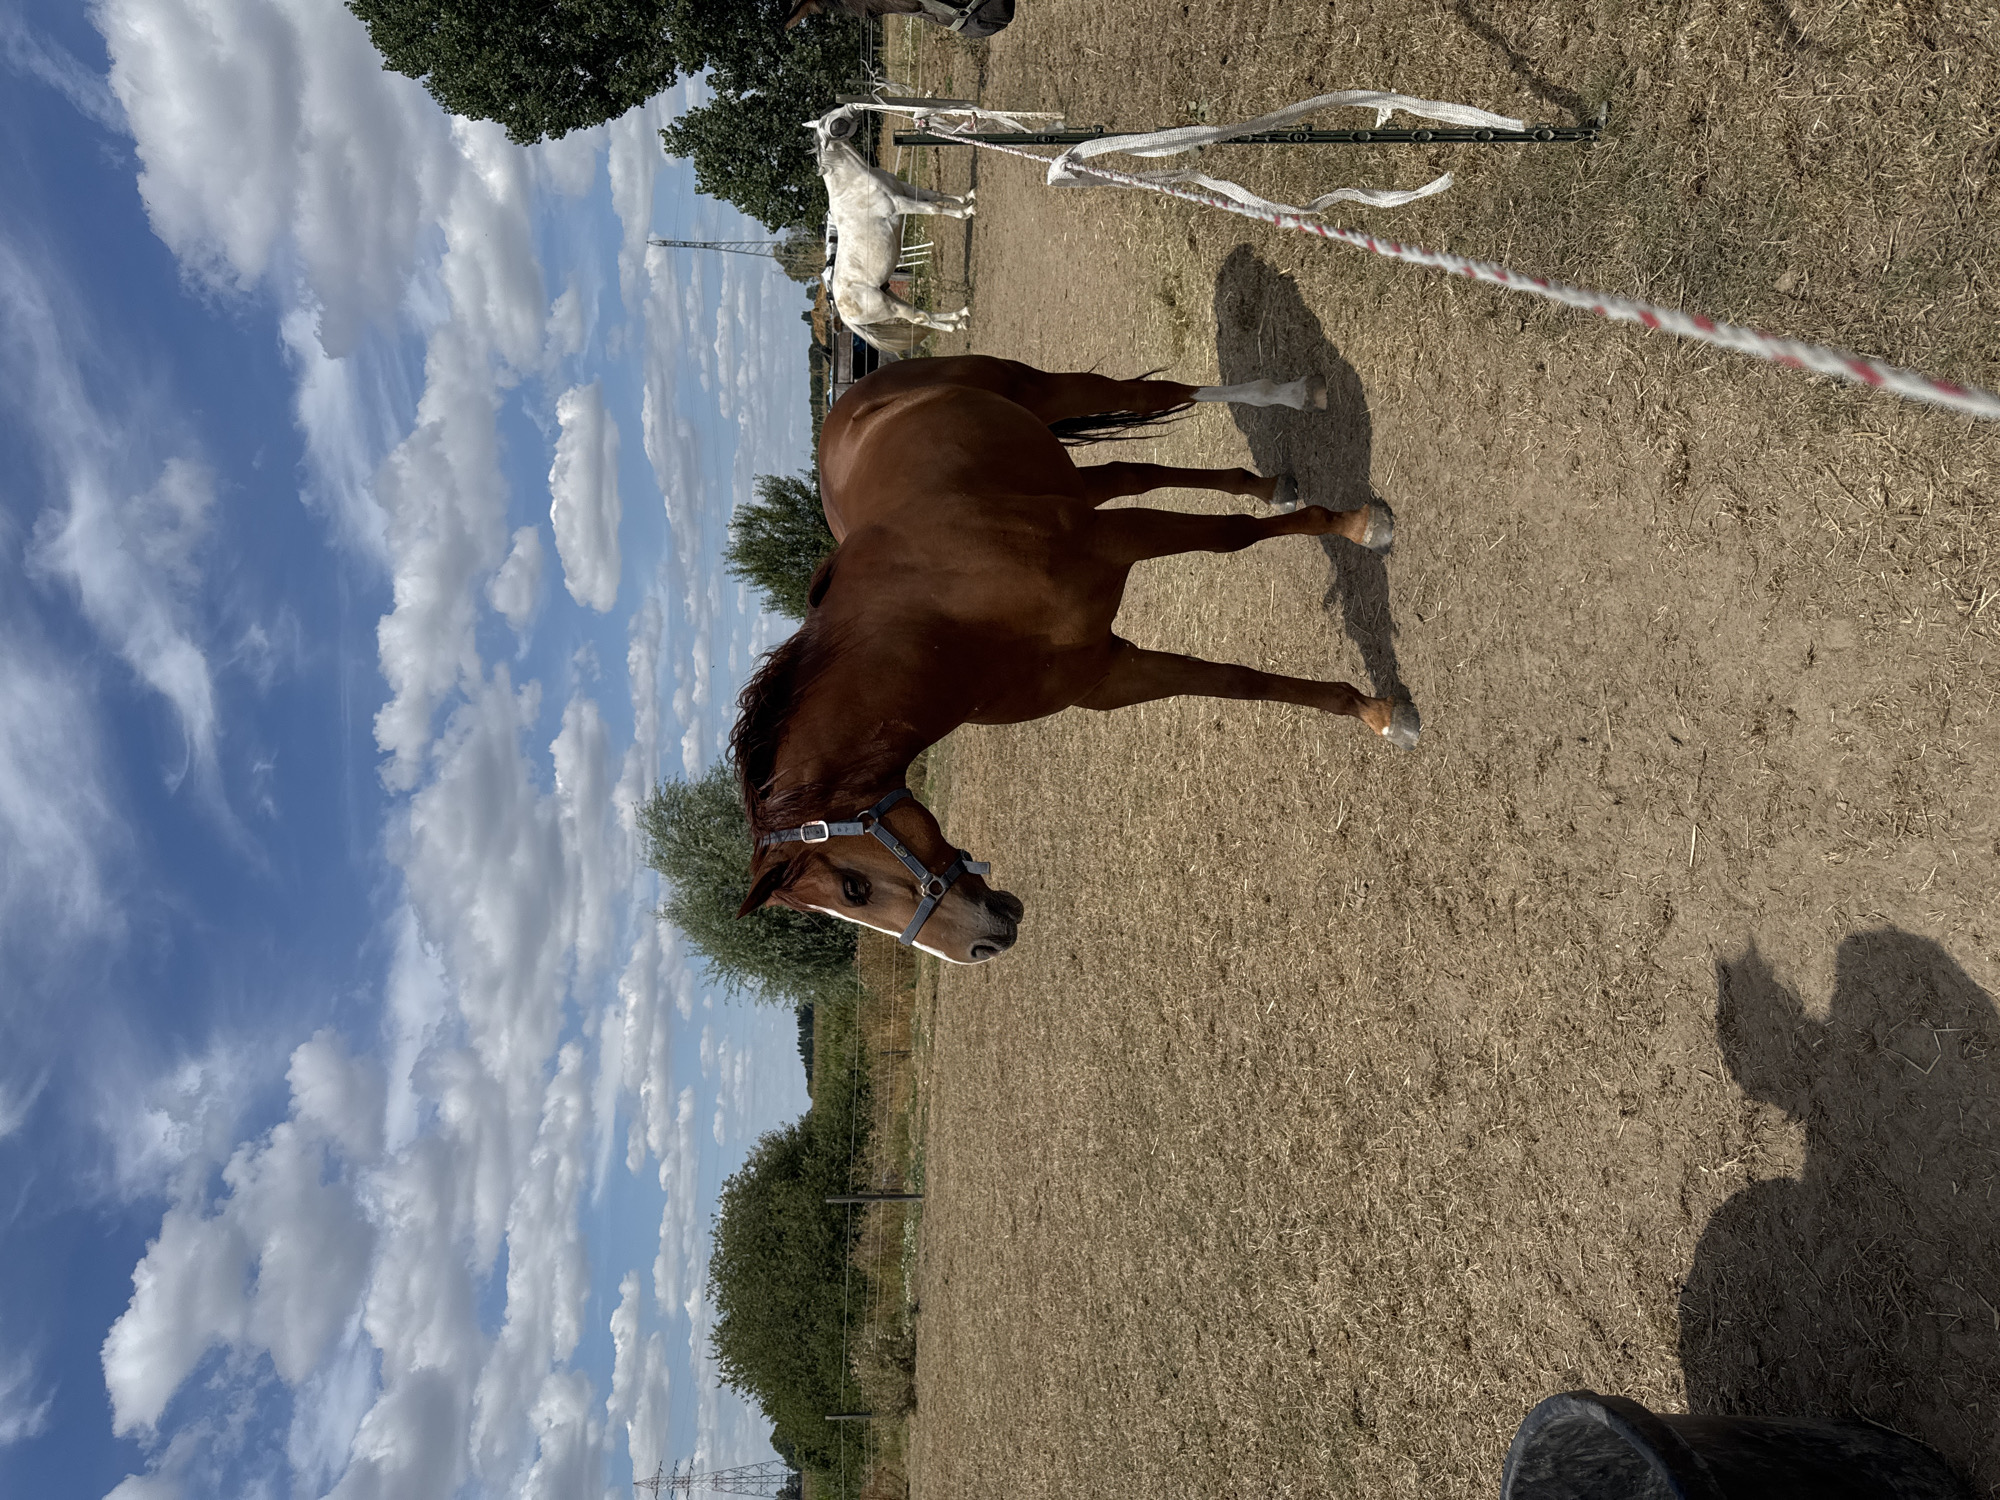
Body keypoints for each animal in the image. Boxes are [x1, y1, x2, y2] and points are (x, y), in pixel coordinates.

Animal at [731, 355, 1419, 966]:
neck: (945, 621)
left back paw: (1297, 398)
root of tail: (851, 397)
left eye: (853, 889)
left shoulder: (1114, 540)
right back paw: (1271, 484)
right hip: (1061, 469)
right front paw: (1379, 713)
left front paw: (1360, 525)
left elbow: (1234, 537)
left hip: (1045, 391)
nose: (982, 949)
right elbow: (1241, 683)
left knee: (1158, 396)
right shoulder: (1111, 676)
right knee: (1130, 469)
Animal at [810, 107, 973, 353]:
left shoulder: (905, 189)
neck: (855, 185)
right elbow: (934, 208)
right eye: (834, 123)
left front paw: (969, 198)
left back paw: (960, 317)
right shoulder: (900, 204)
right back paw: (957, 323)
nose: (854, 108)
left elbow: (937, 195)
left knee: (921, 314)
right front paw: (967, 212)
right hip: (889, 307)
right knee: (919, 317)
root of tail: (844, 316)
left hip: (889, 293)